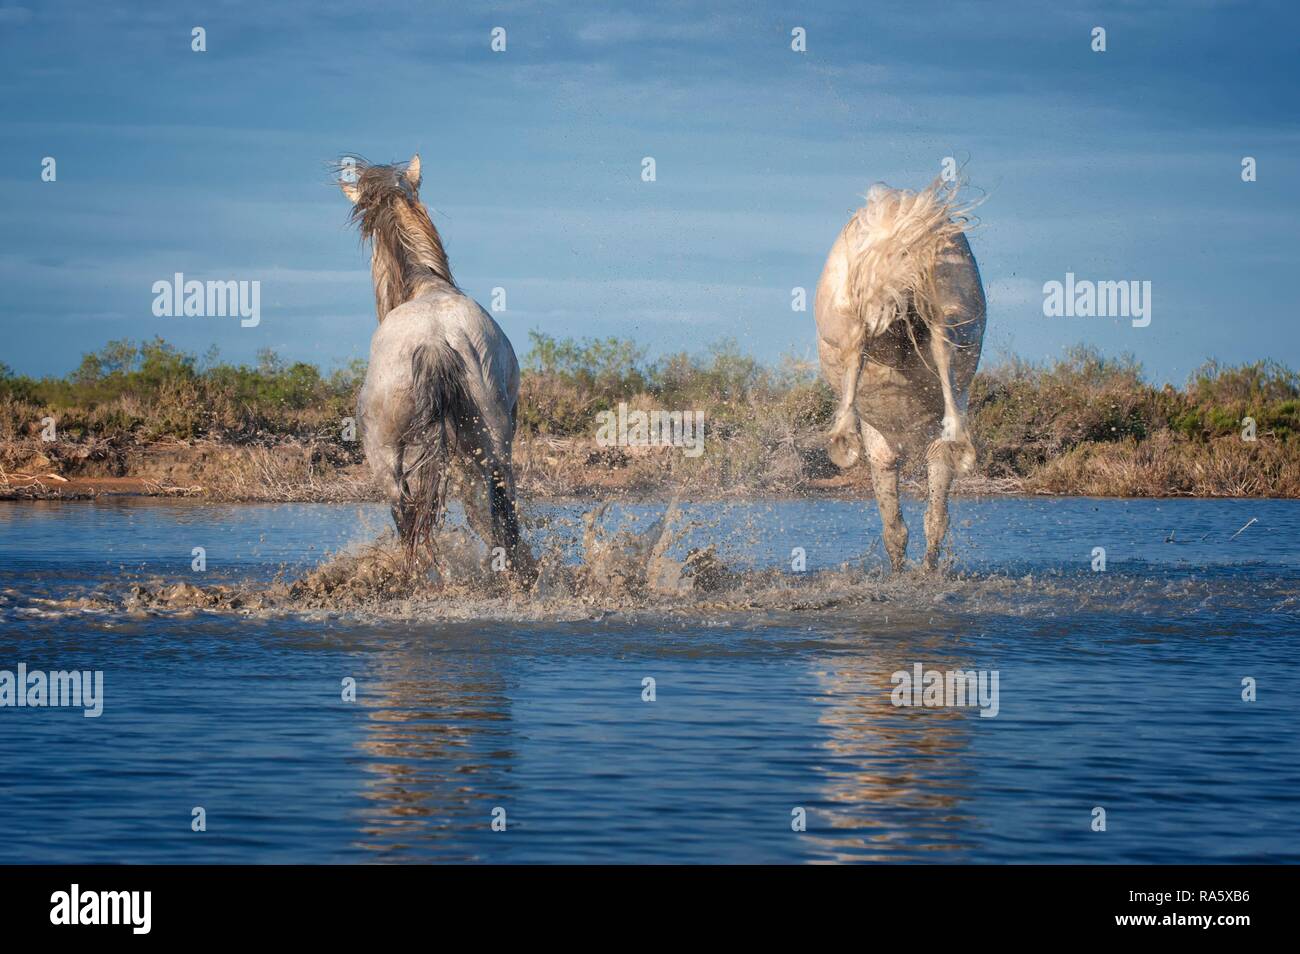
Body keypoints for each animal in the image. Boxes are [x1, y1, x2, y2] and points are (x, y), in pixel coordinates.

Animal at [340, 153, 538, 579]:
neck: (425, 286)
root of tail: (434, 338)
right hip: (483, 444)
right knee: (493, 512)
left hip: (397, 454)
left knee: (418, 517)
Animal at [811, 176, 982, 571]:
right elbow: (928, 520)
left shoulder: (883, 454)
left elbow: (897, 527)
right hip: (954, 305)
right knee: (941, 340)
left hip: (844, 311)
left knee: (857, 339)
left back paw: (843, 441)